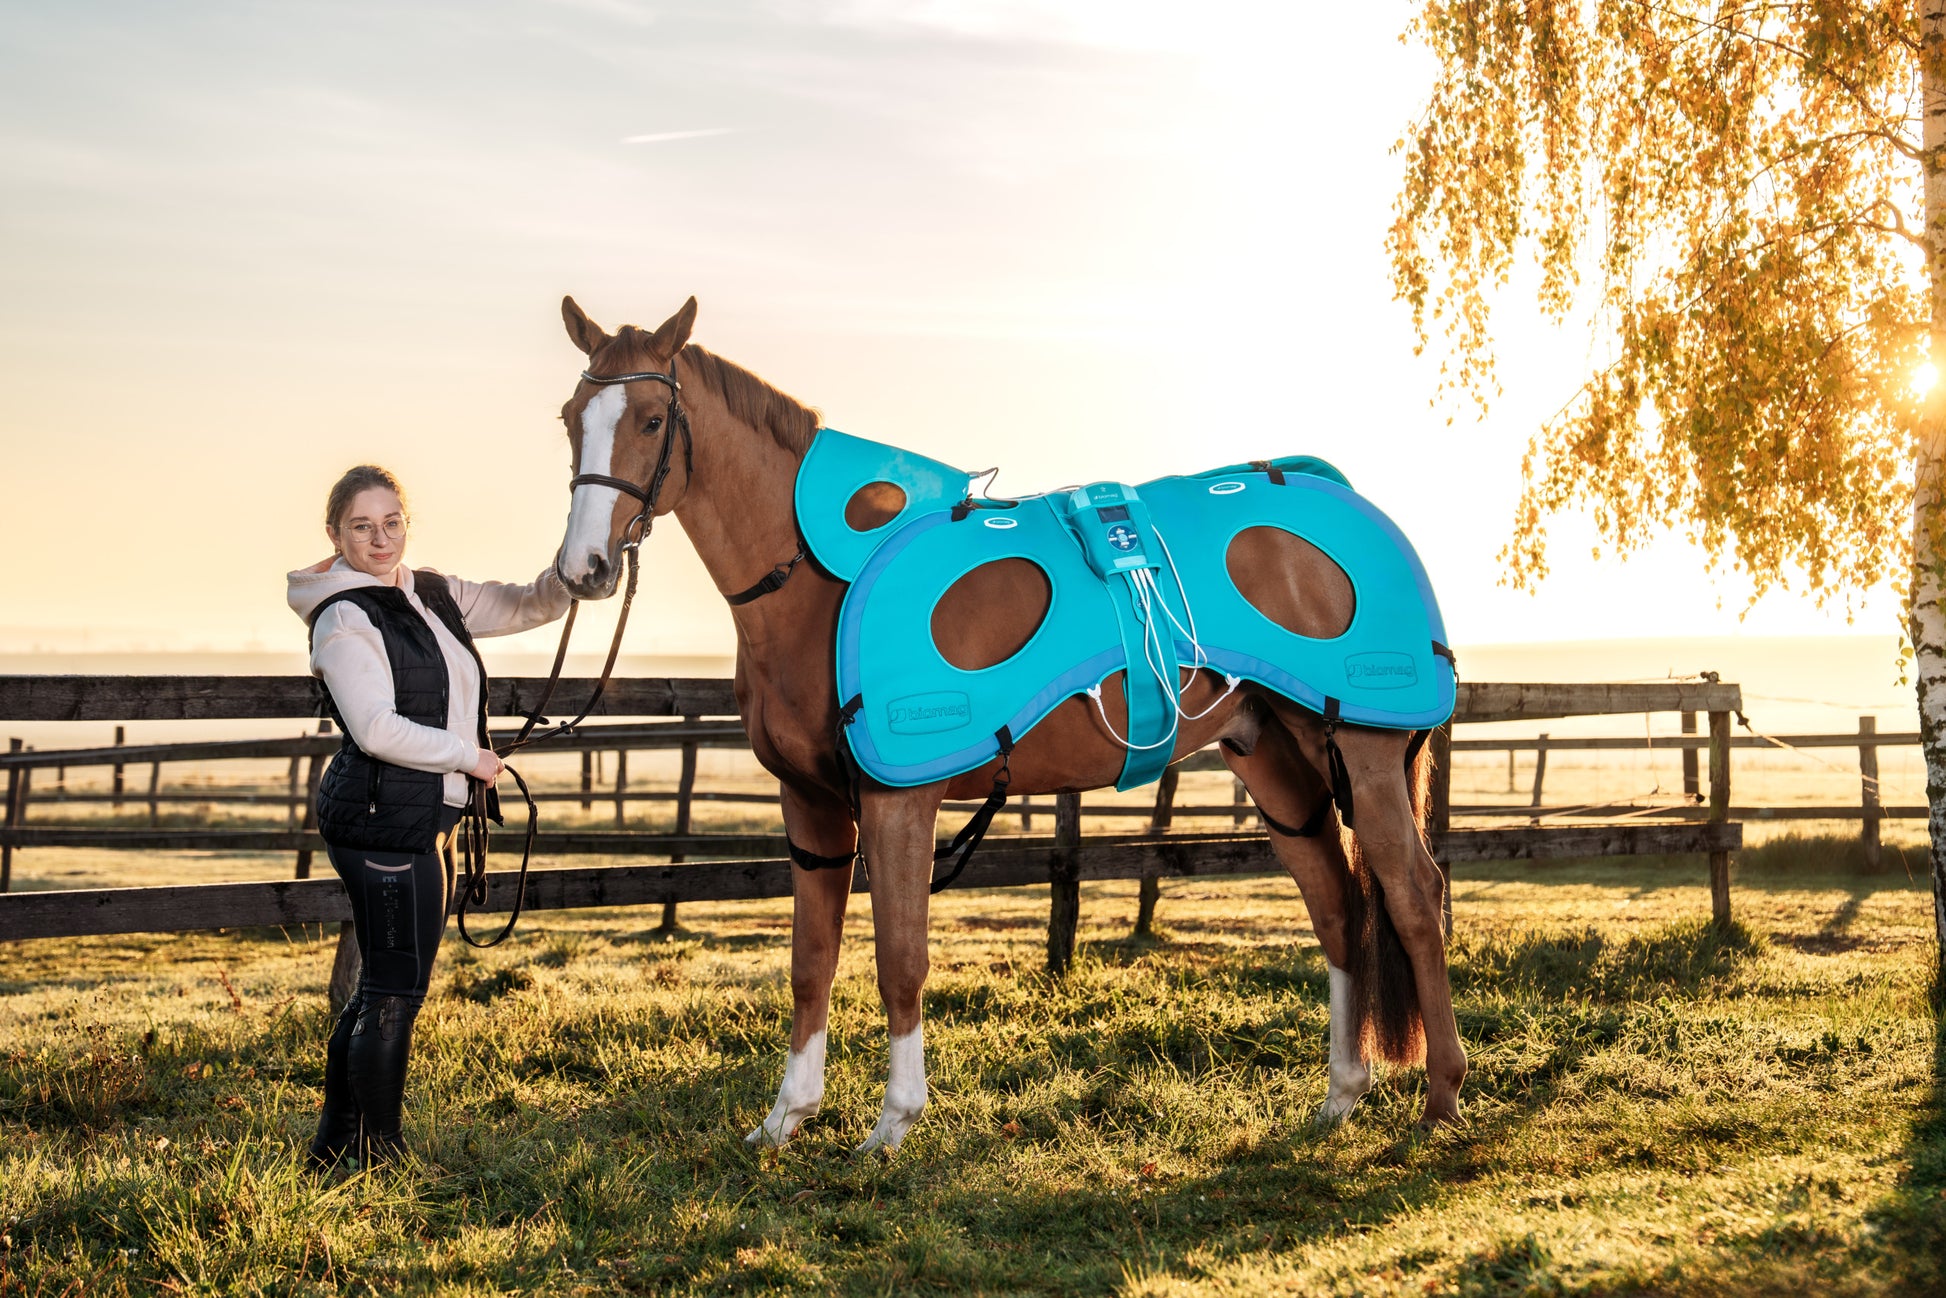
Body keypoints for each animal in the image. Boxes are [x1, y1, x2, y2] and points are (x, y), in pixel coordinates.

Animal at [546, 295, 1466, 1151]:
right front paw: (786, 1118)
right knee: (1339, 905)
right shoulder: (811, 806)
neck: (813, 587)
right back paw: (1342, 1094)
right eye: (569, 419)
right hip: (1274, 762)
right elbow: (811, 964)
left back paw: (1441, 1098)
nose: (582, 569)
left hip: (1361, 749)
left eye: (653, 419)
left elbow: (900, 959)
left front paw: (893, 1122)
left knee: (1414, 895)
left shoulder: (897, 802)